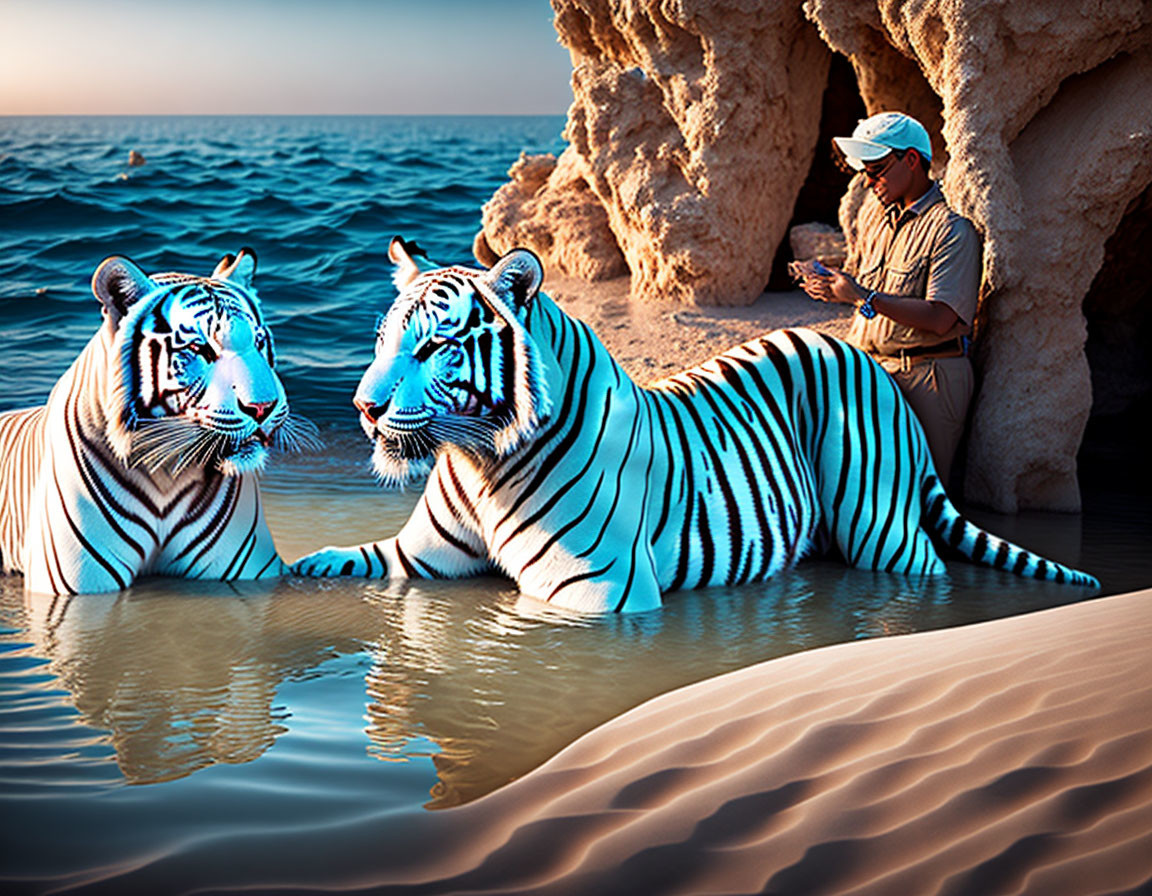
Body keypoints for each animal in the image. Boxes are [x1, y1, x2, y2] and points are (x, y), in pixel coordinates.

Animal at [292, 237, 1101, 612]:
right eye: (381, 341)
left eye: (435, 346)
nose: (362, 408)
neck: (478, 458)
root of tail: (857, 353)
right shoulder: (419, 557)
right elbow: (340, 560)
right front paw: (292, 575)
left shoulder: (596, 592)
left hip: (879, 526)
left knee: (928, 566)